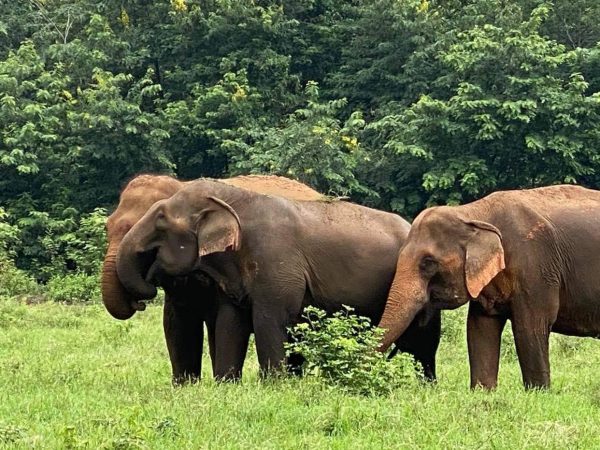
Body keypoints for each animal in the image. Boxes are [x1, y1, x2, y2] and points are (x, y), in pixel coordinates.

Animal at [378, 185, 600, 388]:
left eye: (428, 263)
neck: (472, 213)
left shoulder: (536, 267)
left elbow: (532, 326)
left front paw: (539, 392)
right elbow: (480, 328)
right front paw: (482, 391)